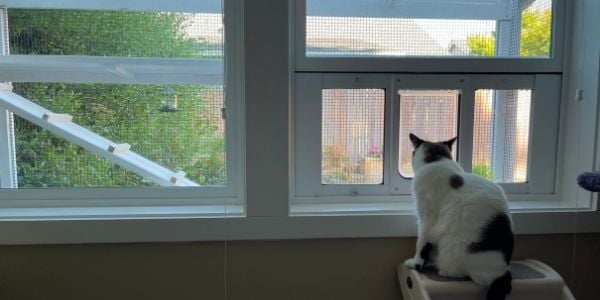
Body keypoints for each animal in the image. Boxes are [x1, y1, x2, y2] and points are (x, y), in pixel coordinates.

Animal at [404, 134, 516, 300]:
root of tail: (503, 273)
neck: (438, 161)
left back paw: (440, 268)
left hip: (452, 246)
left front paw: (416, 263)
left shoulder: (426, 220)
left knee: (460, 273)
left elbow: (421, 245)